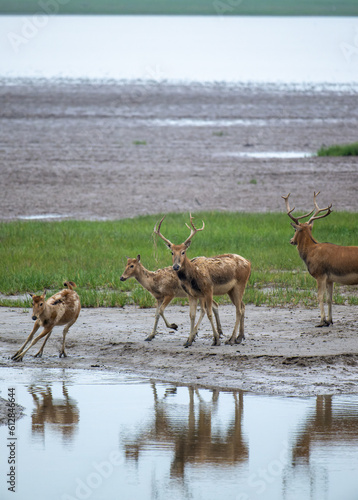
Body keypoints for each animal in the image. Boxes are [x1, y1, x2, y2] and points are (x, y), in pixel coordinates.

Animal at [154, 213, 252, 346]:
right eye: (172, 252)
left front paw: (216, 339)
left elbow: (209, 313)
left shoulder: (208, 290)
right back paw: (240, 337)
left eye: (183, 252)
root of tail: (249, 263)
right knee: (242, 306)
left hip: (240, 285)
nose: (176, 266)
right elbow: (192, 315)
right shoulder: (191, 294)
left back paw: (231, 339)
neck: (193, 277)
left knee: (239, 310)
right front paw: (189, 340)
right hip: (231, 290)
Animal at [282, 191, 358, 328]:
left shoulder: (320, 274)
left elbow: (320, 296)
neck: (311, 252)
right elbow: (329, 298)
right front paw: (330, 320)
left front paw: (321, 321)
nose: (291, 240)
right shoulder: (330, 278)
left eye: (295, 229)